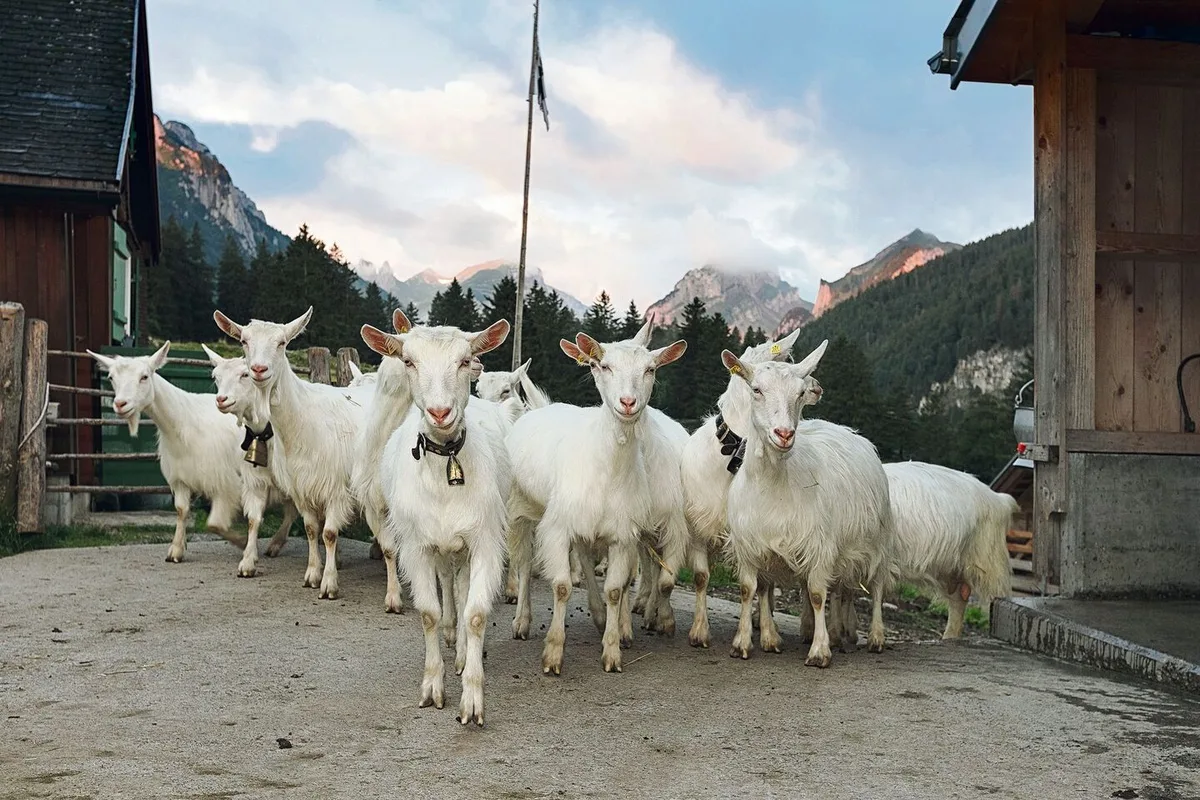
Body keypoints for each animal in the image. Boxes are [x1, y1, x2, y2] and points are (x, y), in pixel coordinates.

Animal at [361, 319, 514, 726]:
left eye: (465, 360)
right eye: (409, 361)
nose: (440, 412)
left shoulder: (484, 541)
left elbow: (474, 614)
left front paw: (472, 699)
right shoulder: (416, 546)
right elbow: (428, 613)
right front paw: (432, 688)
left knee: (460, 589)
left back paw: (459, 648)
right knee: (448, 582)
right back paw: (449, 633)